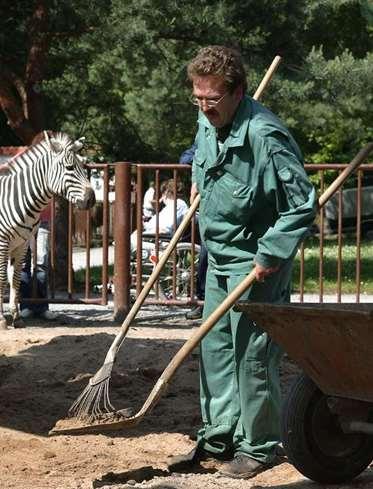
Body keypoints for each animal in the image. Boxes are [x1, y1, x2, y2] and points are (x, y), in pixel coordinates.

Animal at [0, 131, 96, 328]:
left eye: (83, 167)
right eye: (69, 168)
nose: (91, 200)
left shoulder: (21, 243)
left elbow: (15, 279)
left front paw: (16, 317)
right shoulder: (3, 242)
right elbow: (2, 279)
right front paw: (1, 319)